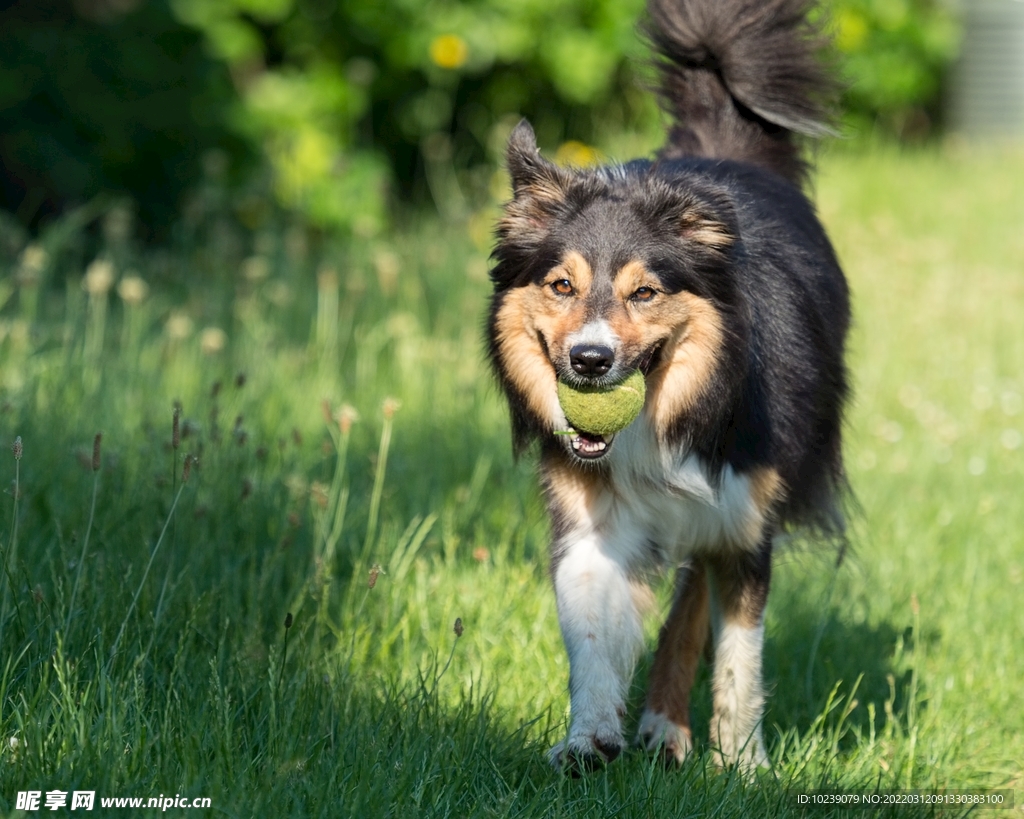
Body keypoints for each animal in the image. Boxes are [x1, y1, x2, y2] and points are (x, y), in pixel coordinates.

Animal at [487, 0, 847, 773]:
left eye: (645, 293)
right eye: (561, 286)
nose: (589, 361)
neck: (664, 415)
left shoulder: (744, 520)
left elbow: (740, 654)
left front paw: (743, 766)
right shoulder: (590, 512)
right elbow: (592, 629)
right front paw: (589, 738)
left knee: (692, 594)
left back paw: (665, 723)